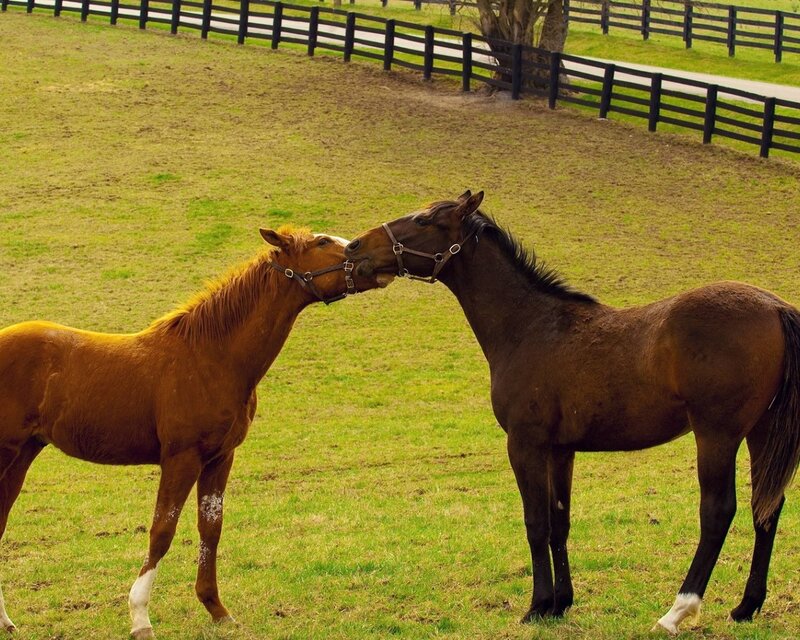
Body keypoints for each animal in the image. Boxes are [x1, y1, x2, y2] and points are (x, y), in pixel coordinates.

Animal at [0, 225, 390, 639]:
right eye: (321, 243)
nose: (371, 257)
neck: (210, 356)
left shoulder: (220, 458)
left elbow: (210, 528)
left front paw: (217, 609)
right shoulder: (181, 459)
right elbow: (162, 531)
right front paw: (140, 618)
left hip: (23, 454)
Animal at [345, 191, 800, 634]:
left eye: (423, 220)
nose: (354, 247)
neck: (530, 326)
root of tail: (776, 307)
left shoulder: (525, 445)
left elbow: (536, 523)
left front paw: (537, 606)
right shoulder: (560, 450)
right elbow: (559, 523)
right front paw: (560, 603)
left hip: (717, 436)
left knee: (718, 512)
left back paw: (677, 611)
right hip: (760, 434)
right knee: (766, 508)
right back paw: (745, 607)